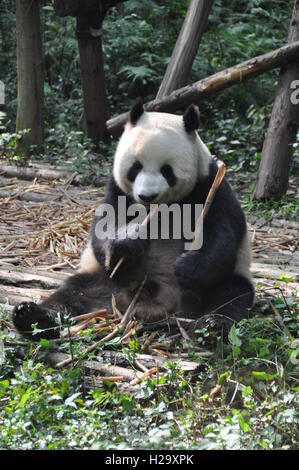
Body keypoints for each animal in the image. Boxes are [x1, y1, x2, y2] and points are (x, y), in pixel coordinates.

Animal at [12, 101, 255, 340]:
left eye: (167, 170)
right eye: (136, 167)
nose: (147, 196)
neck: (159, 210)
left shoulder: (210, 185)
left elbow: (222, 236)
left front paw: (186, 266)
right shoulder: (117, 190)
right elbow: (104, 229)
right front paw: (128, 244)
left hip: (217, 286)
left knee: (230, 297)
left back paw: (214, 324)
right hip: (103, 281)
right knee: (72, 294)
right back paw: (31, 315)